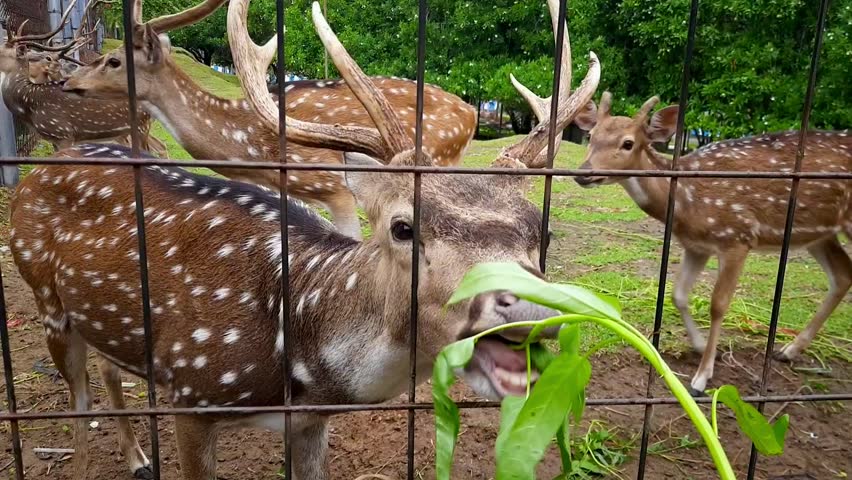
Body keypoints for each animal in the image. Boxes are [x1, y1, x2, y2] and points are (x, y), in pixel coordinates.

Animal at [572, 92, 852, 395]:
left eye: (628, 143)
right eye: (591, 135)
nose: (583, 173)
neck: (688, 200)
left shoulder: (737, 237)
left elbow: (718, 304)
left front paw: (701, 377)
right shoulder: (696, 245)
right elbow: (678, 294)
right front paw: (700, 345)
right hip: (819, 233)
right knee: (842, 274)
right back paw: (788, 350)